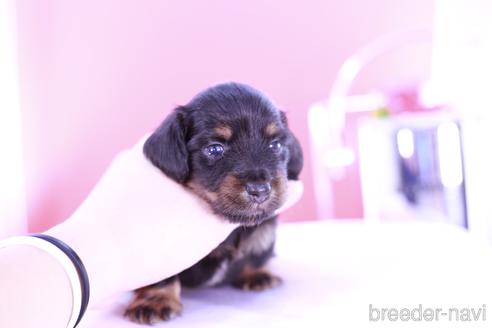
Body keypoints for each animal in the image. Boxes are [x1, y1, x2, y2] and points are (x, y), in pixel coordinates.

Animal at [126, 82, 304, 326]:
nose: (260, 190)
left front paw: (257, 273)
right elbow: (160, 272)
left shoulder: (264, 228)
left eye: (275, 145)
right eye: (215, 149)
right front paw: (155, 300)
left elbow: (260, 247)